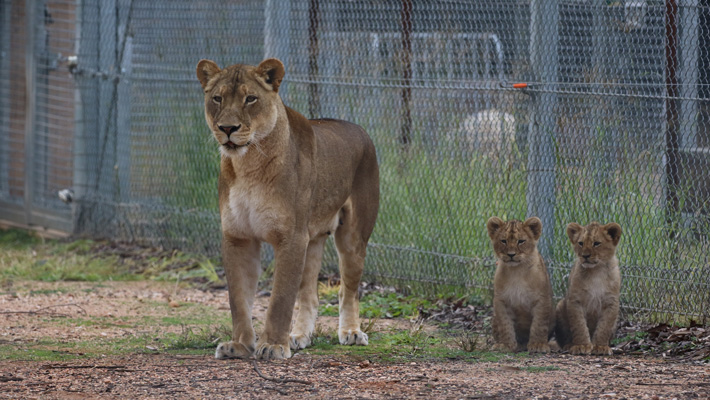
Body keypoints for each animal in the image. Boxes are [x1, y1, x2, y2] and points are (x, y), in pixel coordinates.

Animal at [196, 58, 379, 360]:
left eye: (250, 99)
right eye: (217, 99)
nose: (227, 128)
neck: (248, 165)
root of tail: (360, 129)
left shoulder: (291, 237)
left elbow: (280, 298)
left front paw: (272, 346)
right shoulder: (237, 236)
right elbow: (238, 299)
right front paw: (240, 345)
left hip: (353, 237)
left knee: (348, 290)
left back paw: (351, 332)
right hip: (312, 239)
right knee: (310, 295)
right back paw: (299, 336)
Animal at [486, 216, 555, 353]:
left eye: (521, 241)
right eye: (503, 241)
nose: (511, 254)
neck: (516, 271)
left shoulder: (542, 299)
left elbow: (539, 324)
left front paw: (538, 345)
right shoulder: (501, 300)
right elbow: (505, 324)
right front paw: (506, 345)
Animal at [555, 222, 622, 355]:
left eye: (596, 243)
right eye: (581, 243)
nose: (585, 256)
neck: (596, 271)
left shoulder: (611, 302)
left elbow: (604, 326)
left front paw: (600, 347)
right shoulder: (575, 300)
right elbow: (579, 325)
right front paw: (582, 345)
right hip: (560, 306)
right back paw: (569, 345)